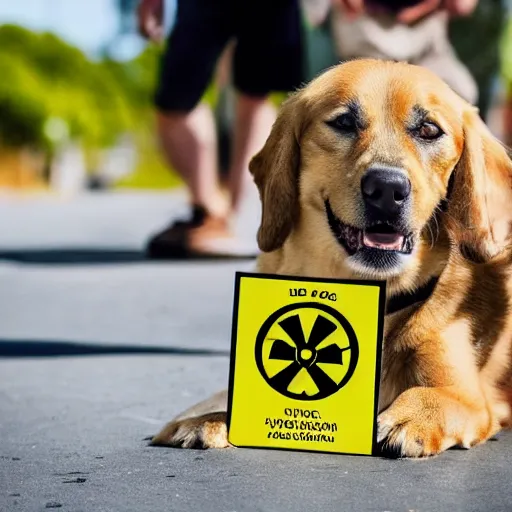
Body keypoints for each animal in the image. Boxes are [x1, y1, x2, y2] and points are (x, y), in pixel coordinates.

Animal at [151, 59, 512, 456]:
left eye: (429, 130)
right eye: (344, 122)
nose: (387, 188)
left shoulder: (465, 397)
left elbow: (429, 395)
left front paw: (410, 417)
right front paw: (208, 419)